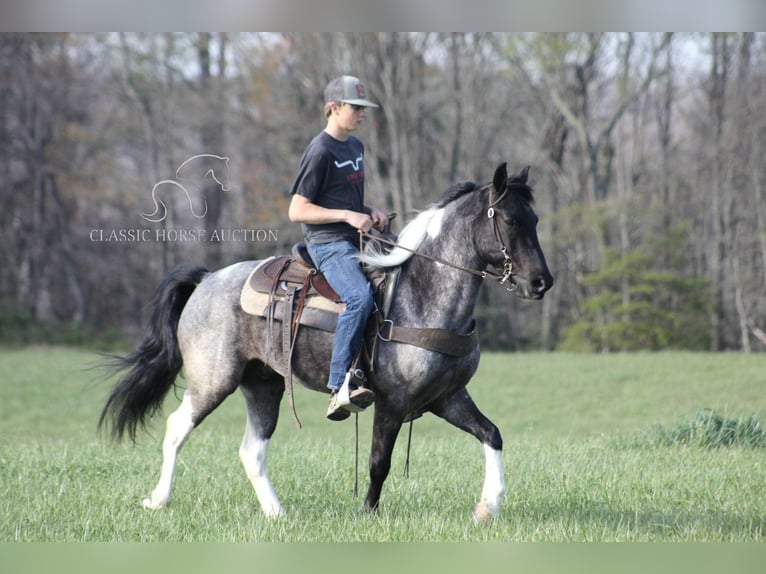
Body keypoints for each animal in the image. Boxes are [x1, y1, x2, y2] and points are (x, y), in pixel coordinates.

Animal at [100, 164, 552, 524]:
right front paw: (367, 514)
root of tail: (208, 279)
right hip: (212, 380)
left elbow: (492, 435)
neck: (422, 295)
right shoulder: (391, 403)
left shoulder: (447, 397)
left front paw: (488, 507)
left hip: (263, 384)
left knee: (252, 450)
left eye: (534, 219)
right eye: (509, 219)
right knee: (177, 428)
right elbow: (378, 462)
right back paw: (158, 500)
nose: (541, 283)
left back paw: (277, 513)